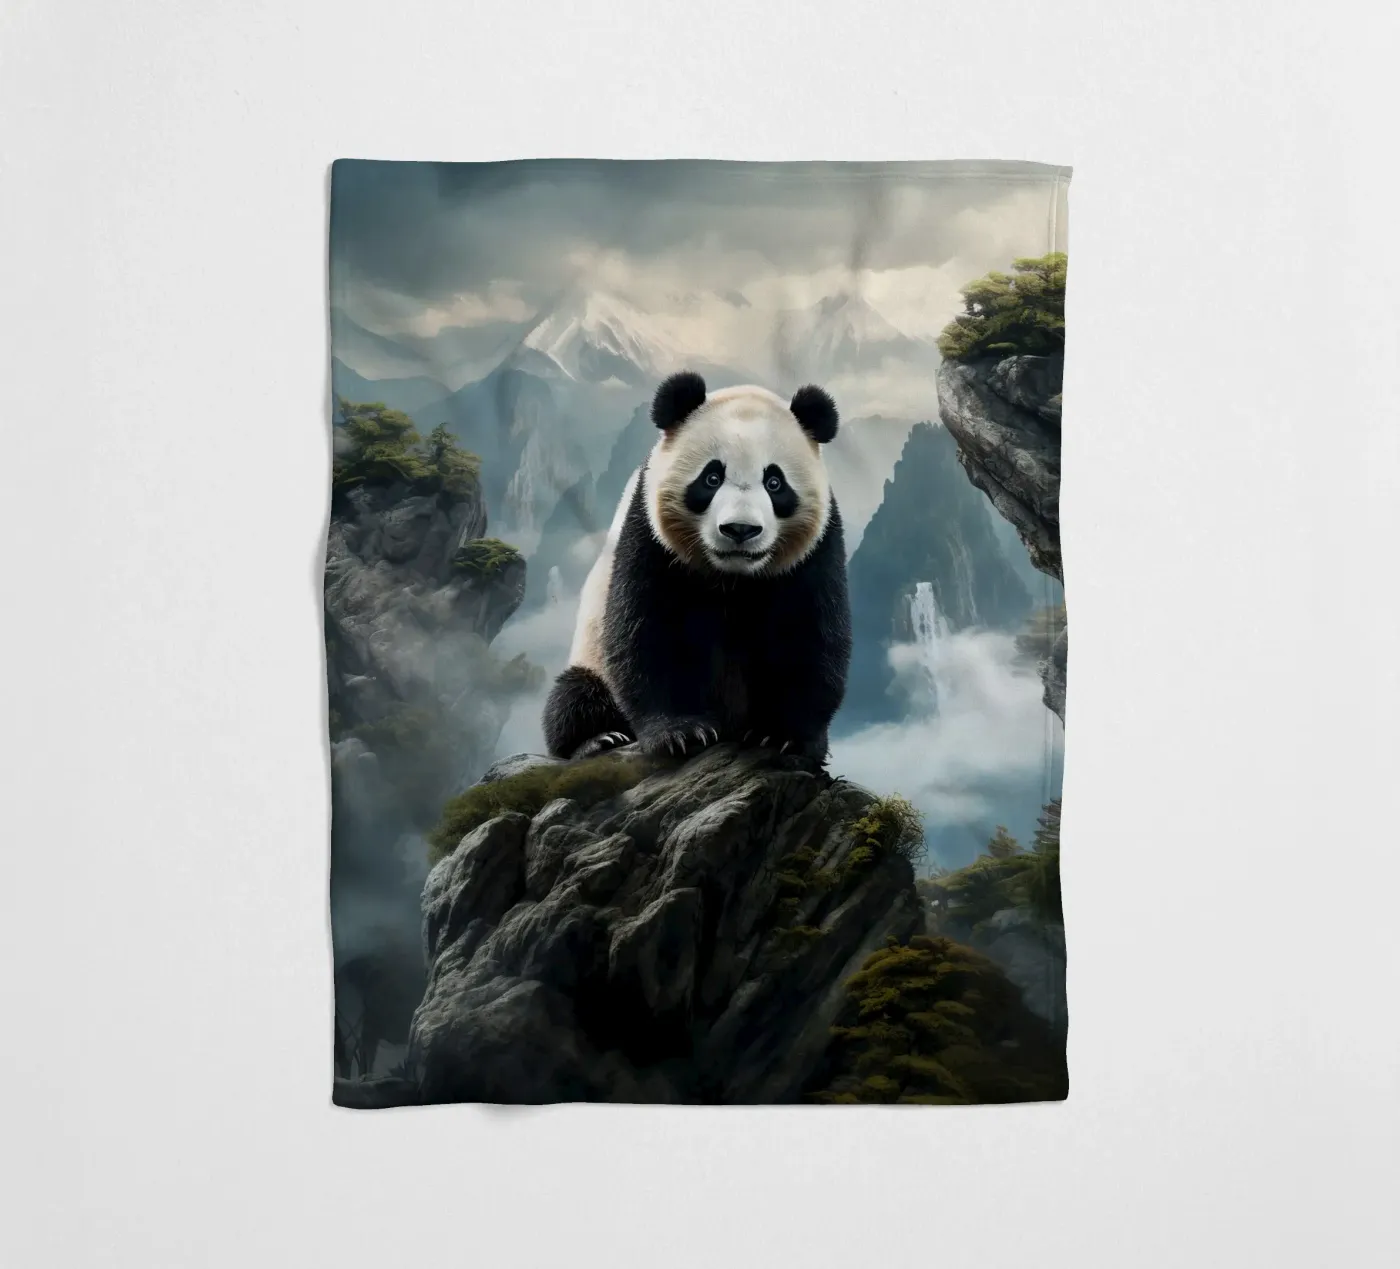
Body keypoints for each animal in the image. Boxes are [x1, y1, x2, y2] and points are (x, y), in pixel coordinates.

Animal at [542, 371, 851, 763]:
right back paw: (598, 739)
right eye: (711, 478)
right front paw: (681, 733)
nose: (740, 529)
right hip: (591, 659)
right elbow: (647, 629)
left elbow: (809, 634)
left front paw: (781, 736)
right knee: (573, 697)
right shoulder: (649, 535)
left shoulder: (816, 550)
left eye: (775, 482)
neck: (731, 578)